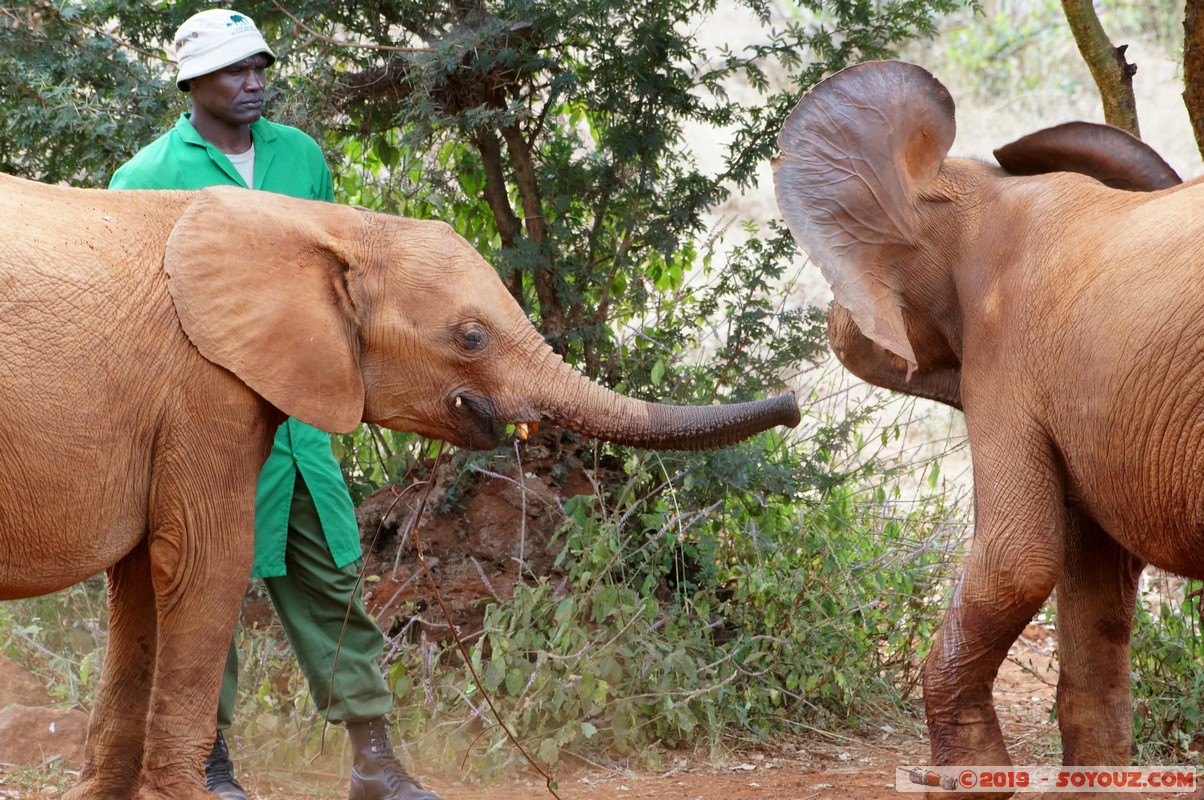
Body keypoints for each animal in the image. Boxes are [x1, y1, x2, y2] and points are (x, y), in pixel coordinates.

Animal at [0, 174, 799, 800]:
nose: (793, 403)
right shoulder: (204, 384)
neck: (322, 223)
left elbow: (138, 582)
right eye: (471, 336)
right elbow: (201, 560)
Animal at [770, 59, 1194, 795]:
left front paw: (963, 779)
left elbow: (1018, 559)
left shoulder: (1007, 357)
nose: (789, 406)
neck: (983, 191)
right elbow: (1097, 579)